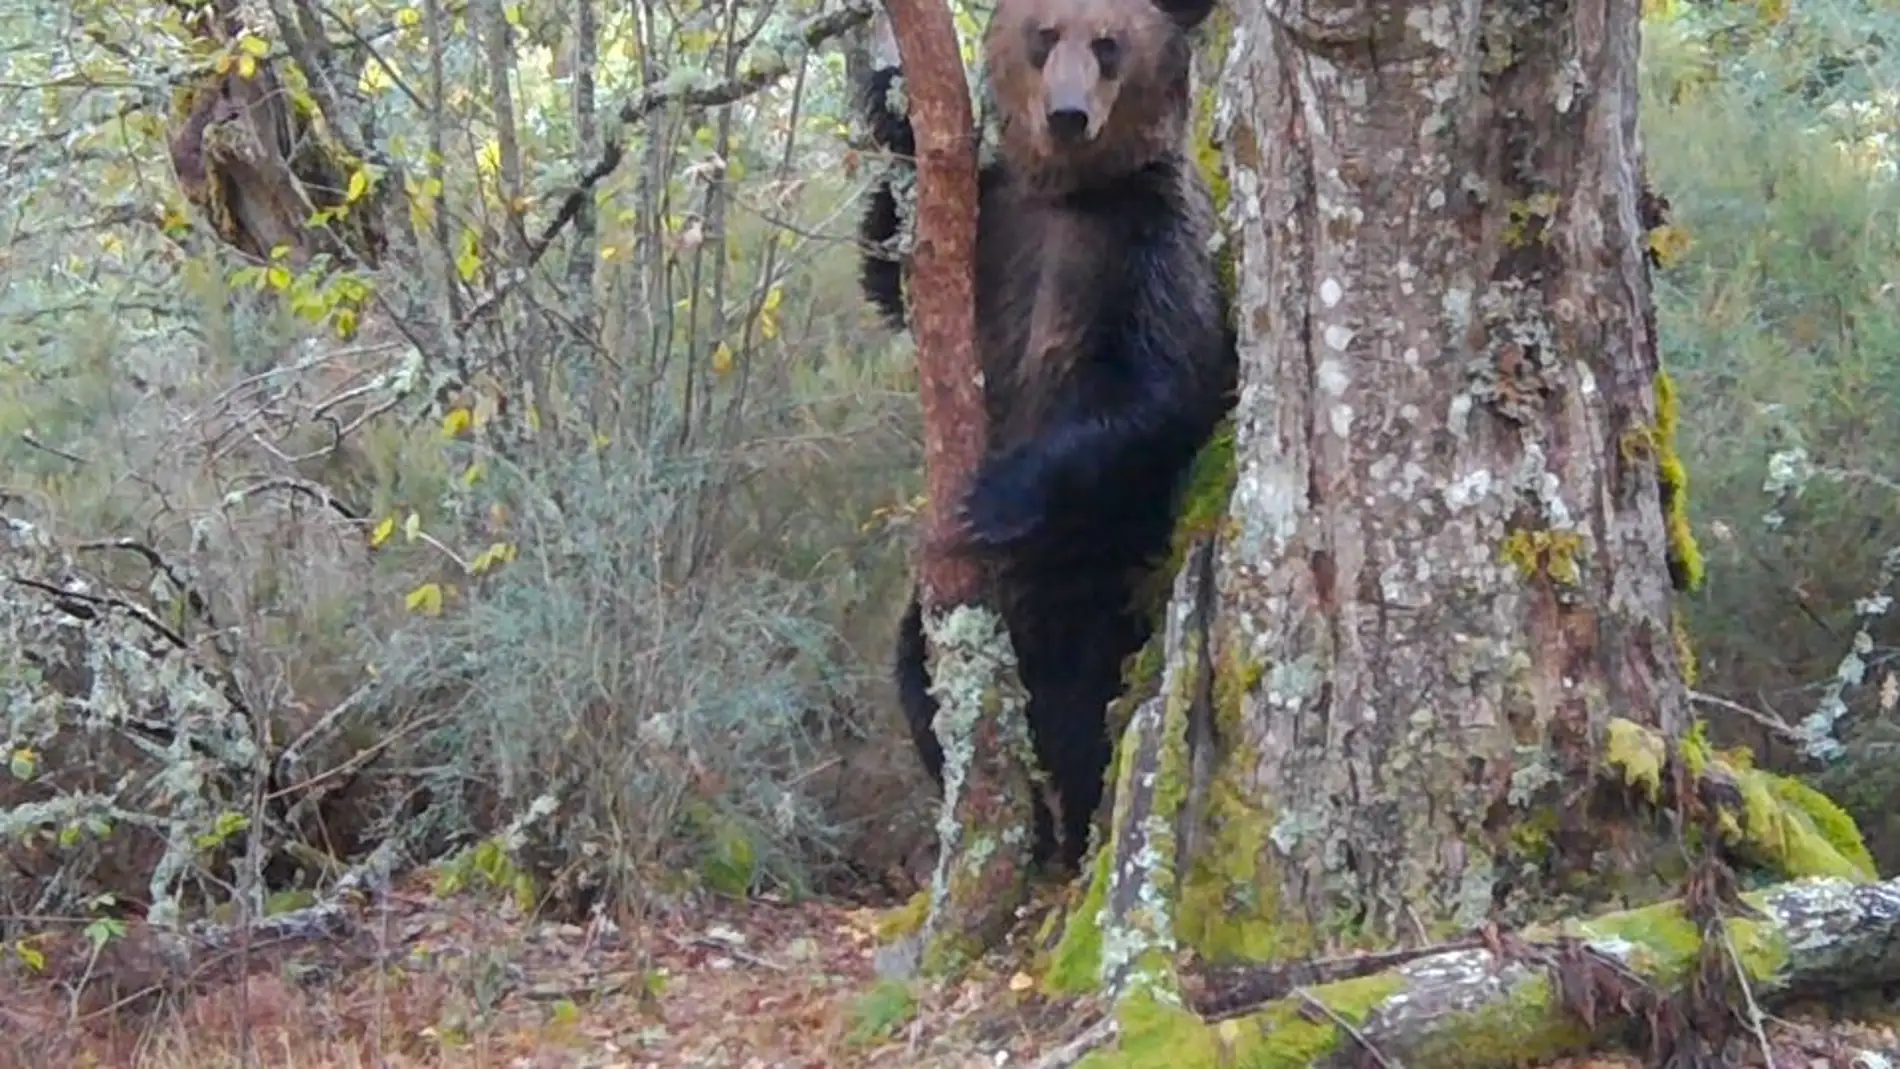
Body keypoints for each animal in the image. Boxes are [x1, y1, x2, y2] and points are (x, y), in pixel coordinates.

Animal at [858, 0, 1231, 869]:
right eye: (1044, 34)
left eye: (1109, 43)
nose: (1067, 115)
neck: (1069, 194)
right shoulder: (993, 231)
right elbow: (890, 274)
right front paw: (891, 105)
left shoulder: (1151, 246)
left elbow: (1160, 388)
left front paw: (995, 495)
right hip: (942, 618)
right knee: (919, 680)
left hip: (1107, 584)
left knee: (1090, 707)